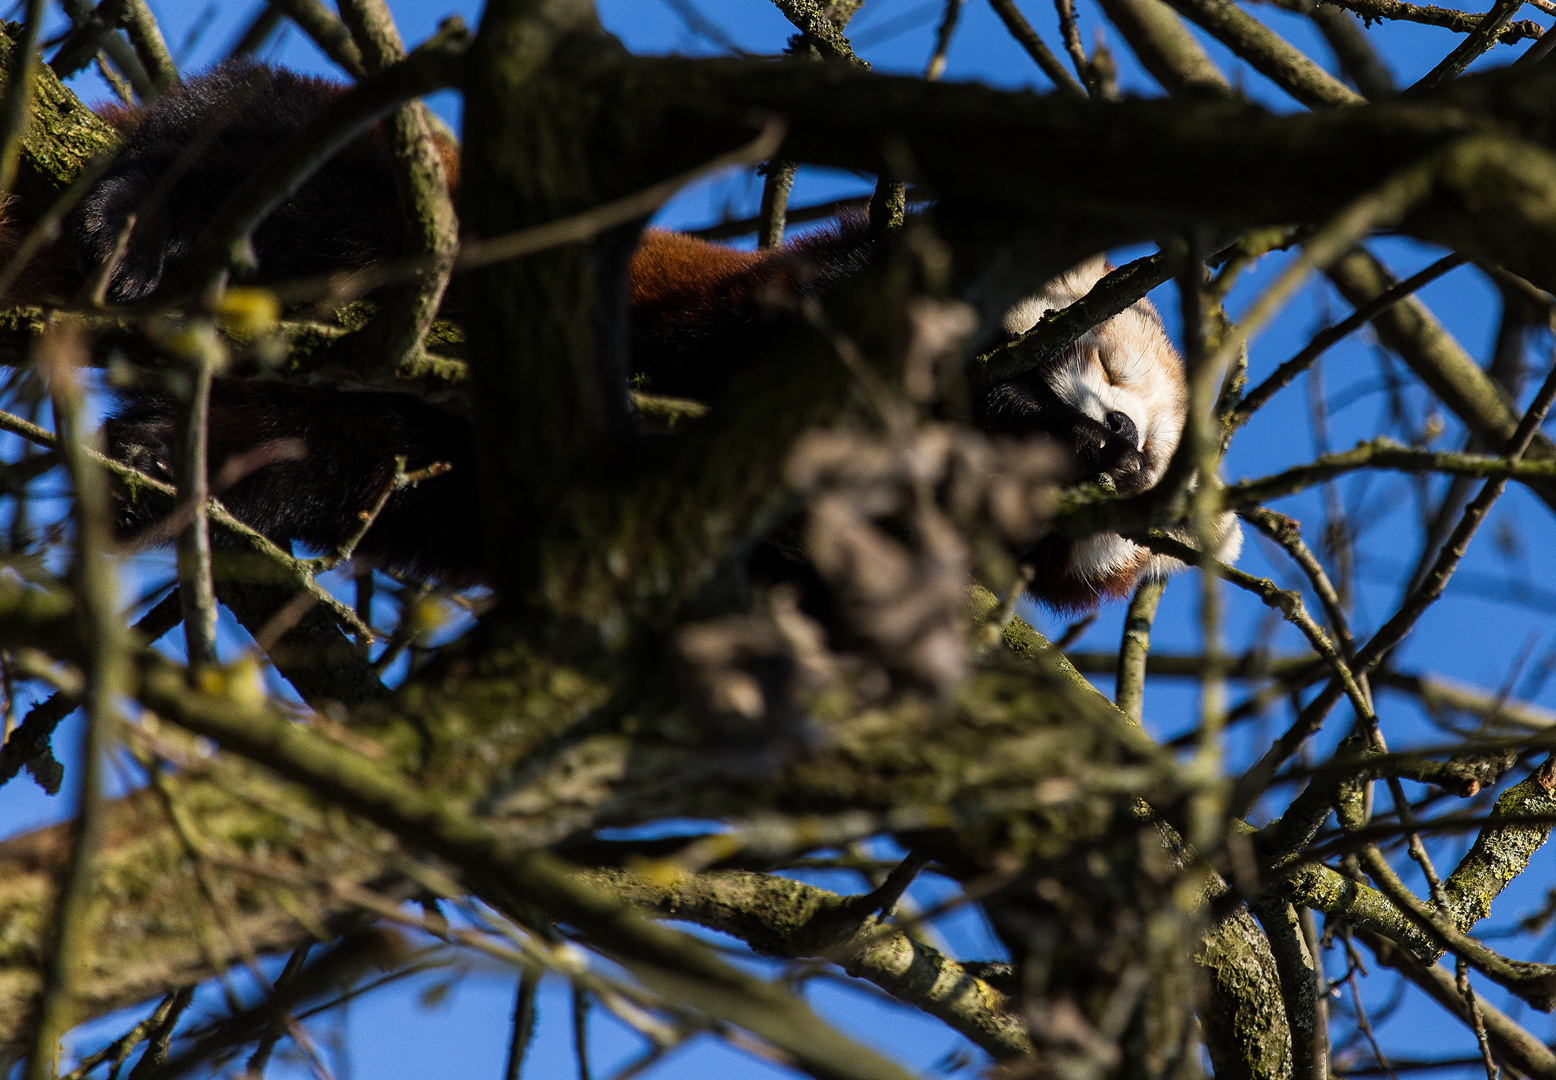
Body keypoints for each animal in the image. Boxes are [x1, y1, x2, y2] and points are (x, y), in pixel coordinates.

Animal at [9, 63, 1238, 613]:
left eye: (1142, 471)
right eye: (1104, 361)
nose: (1113, 440)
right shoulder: (814, 301)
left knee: (312, 458)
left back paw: (160, 467)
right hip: (378, 196)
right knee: (246, 145)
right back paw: (141, 218)